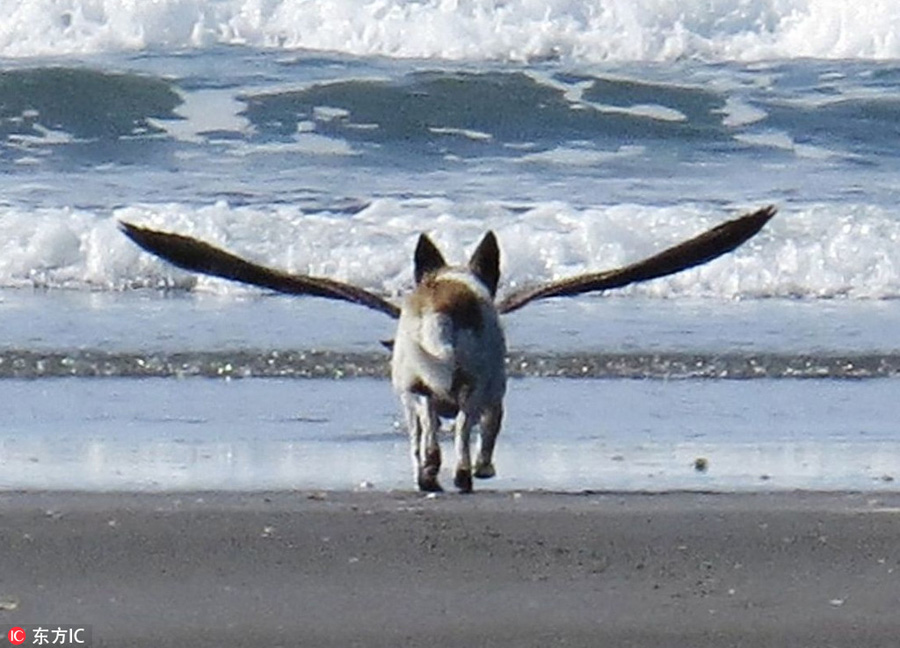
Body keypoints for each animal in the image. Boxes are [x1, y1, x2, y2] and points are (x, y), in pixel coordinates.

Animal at [119, 205, 776, 494]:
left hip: (430, 389)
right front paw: (481, 468)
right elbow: (480, 435)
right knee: (455, 437)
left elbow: (434, 434)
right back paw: (459, 474)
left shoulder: (429, 397)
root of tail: (446, 304)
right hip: (471, 387)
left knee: (437, 436)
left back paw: (439, 475)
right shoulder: (490, 399)